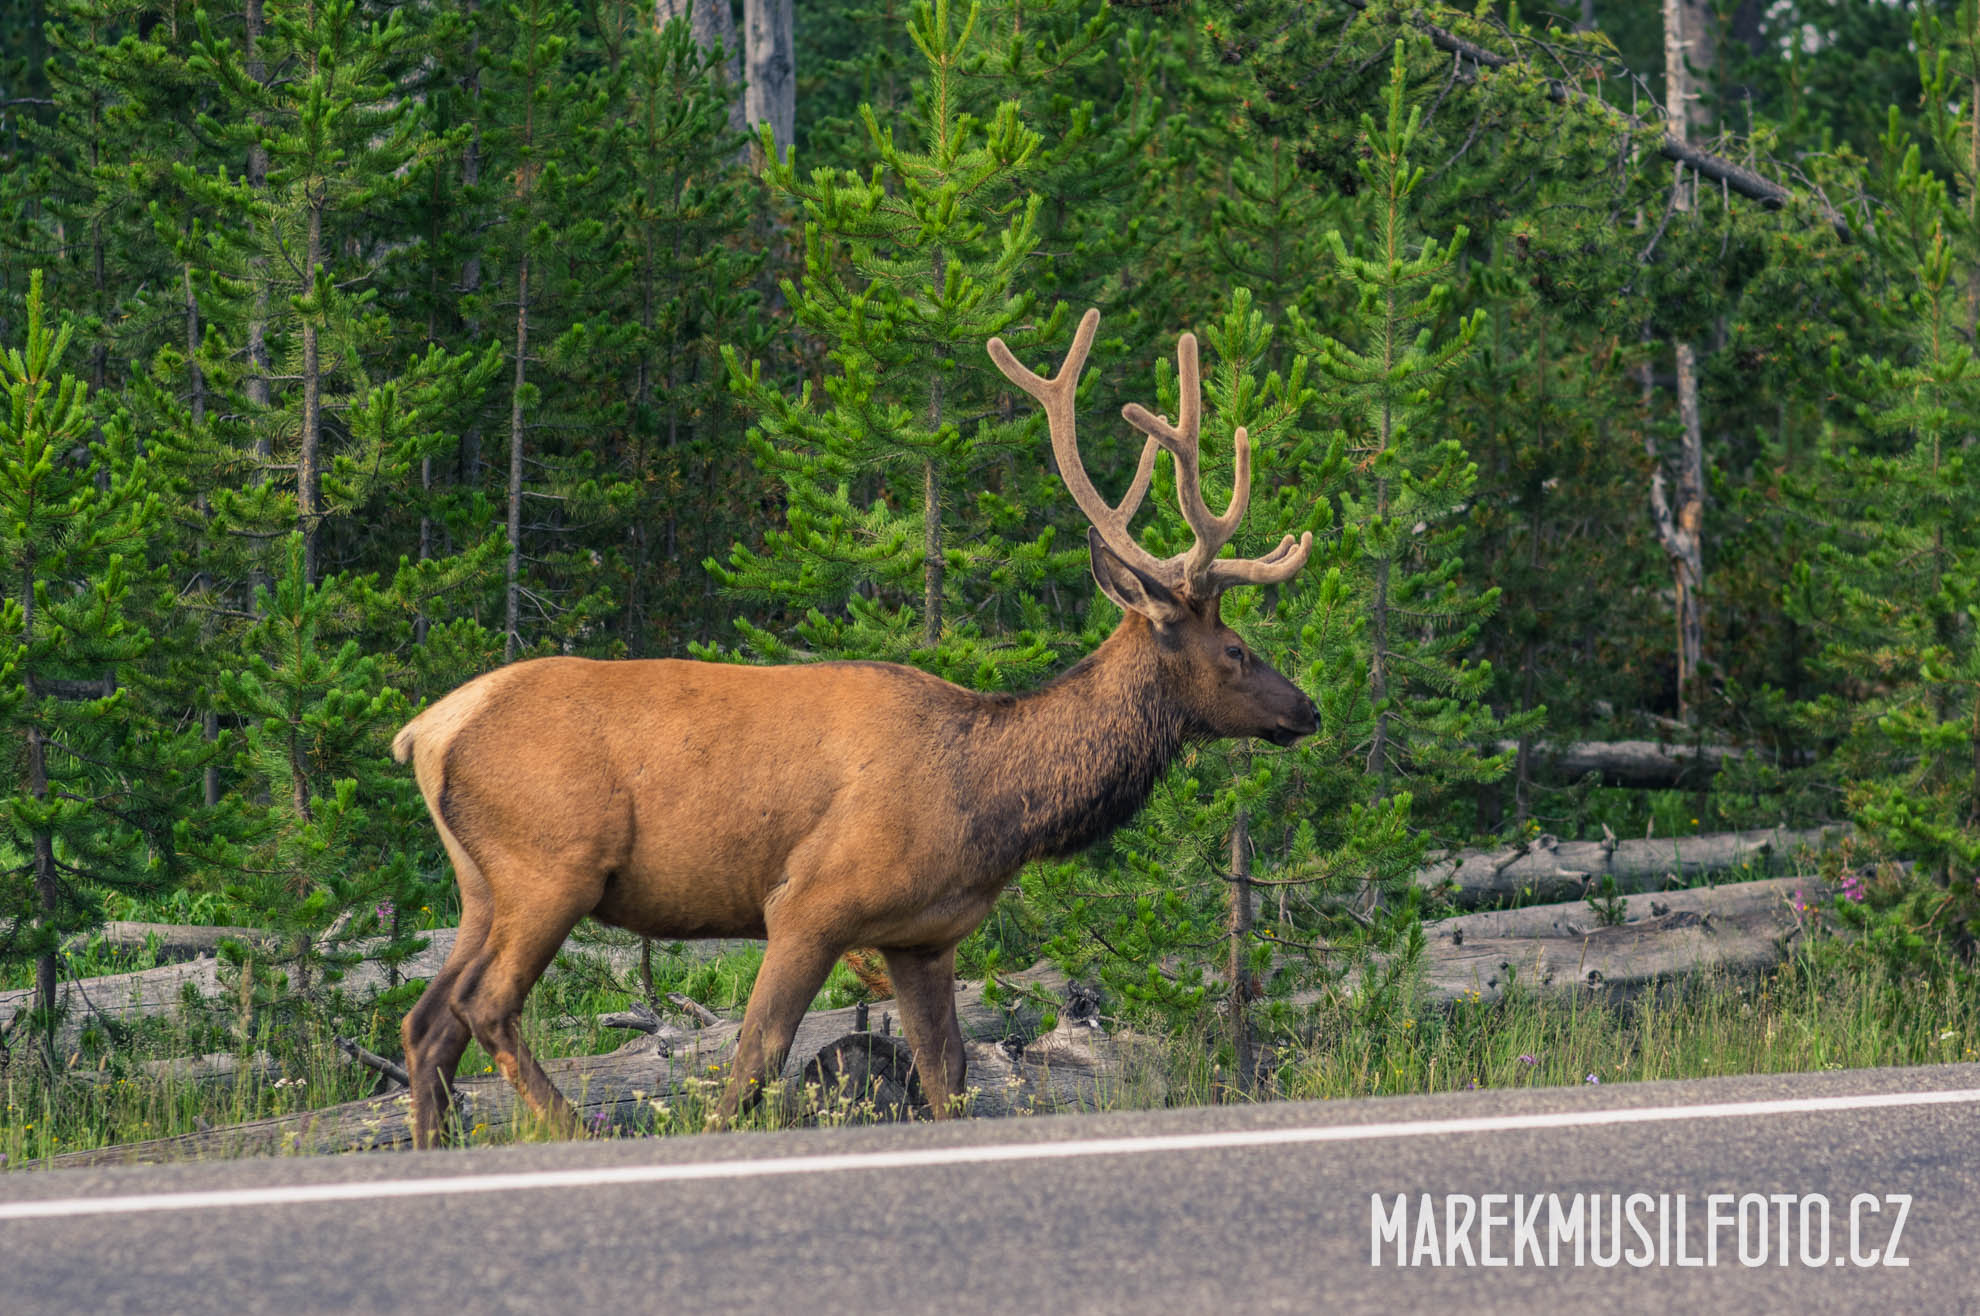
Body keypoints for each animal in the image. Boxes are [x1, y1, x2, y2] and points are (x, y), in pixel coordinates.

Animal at [390, 308, 1317, 1148]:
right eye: (1235, 650)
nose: (1305, 709)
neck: (993, 804)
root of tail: (425, 732)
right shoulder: (809, 903)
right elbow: (752, 1063)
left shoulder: (924, 939)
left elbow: (948, 1079)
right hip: (554, 864)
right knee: (485, 1006)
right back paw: (575, 1131)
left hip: (483, 883)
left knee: (428, 1020)